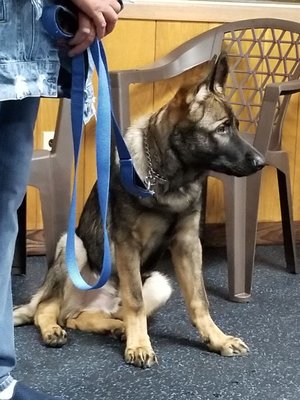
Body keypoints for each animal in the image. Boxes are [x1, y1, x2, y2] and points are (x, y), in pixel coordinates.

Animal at [14, 54, 264, 368]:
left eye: (236, 126)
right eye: (221, 128)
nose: (262, 162)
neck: (169, 179)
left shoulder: (188, 244)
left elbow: (199, 300)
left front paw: (217, 338)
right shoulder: (126, 244)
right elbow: (135, 300)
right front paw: (140, 345)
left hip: (159, 284)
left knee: (82, 317)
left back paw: (115, 327)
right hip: (74, 246)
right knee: (47, 308)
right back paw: (54, 330)